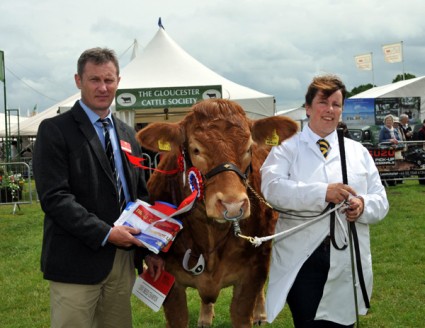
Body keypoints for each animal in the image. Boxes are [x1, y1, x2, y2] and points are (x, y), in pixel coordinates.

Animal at [135, 98, 294, 326]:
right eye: (196, 150)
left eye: (249, 149)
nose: (232, 204)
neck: (210, 236)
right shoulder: (170, 283)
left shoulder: (253, 273)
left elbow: (243, 312)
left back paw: (260, 313)